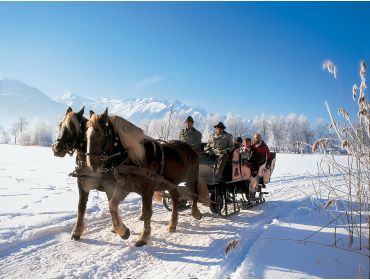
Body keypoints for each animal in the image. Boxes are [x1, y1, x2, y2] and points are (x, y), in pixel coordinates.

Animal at [52, 107, 132, 241]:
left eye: (72, 126)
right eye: (60, 125)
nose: (57, 148)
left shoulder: (110, 187)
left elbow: (112, 205)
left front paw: (121, 230)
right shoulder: (83, 184)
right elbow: (81, 207)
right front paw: (77, 231)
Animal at [86, 108, 208, 246]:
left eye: (99, 132)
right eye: (87, 133)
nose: (91, 164)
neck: (135, 159)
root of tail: (190, 148)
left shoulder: (147, 190)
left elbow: (147, 212)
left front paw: (143, 237)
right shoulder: (125, 187)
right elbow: (112, 205)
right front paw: (123, 231)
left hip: (191, 177)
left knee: (194, 194)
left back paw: (195, 213)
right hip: (171, 182)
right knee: (175, 198)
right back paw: (173, 224)